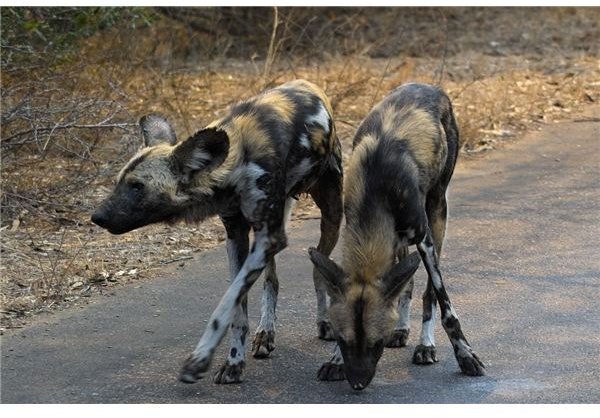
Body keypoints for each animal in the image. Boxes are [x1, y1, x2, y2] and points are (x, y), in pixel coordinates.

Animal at [90, 80, 342, 384]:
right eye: (119, 183)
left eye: (137, 186)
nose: (96, 217)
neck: (236, 165)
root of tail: (309, 84)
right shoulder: (238, 235)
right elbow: (237, 310)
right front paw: (234, 361)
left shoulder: (265, 238)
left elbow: (225, 307)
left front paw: (200, 361)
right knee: (273, 280)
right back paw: (266, 333)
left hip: (330, 216)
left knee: (320, 267)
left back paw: (325, 322)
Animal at [308, 83, 486, 390]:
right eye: (343, 341)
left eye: (376, 344)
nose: (357, 384)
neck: (375, 195)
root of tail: (428, 86)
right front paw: (336, 361)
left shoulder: (424, 239)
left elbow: (445, 307)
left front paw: (465, 355)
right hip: (400, 243)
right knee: (407, 283)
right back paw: (402, 329)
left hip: (437, 213)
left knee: (428, 293)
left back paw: (425, 346)